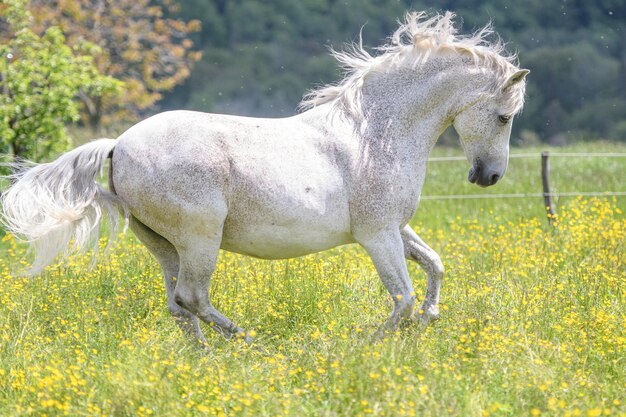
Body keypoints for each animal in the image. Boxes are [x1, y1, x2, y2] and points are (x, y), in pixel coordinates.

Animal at [1, 12, 528, 344]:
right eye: (504, 117)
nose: (489, 176)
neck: (376, 131)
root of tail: (119, 145)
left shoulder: (395, 227)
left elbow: (434, 266)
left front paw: (429, 320)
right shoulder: (377, 234)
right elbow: (401, 299)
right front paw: (367, 345)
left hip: (162, 244)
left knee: (178, 305)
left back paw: (203, 359)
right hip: (200, 238)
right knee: (192, 298)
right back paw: (251, 345)